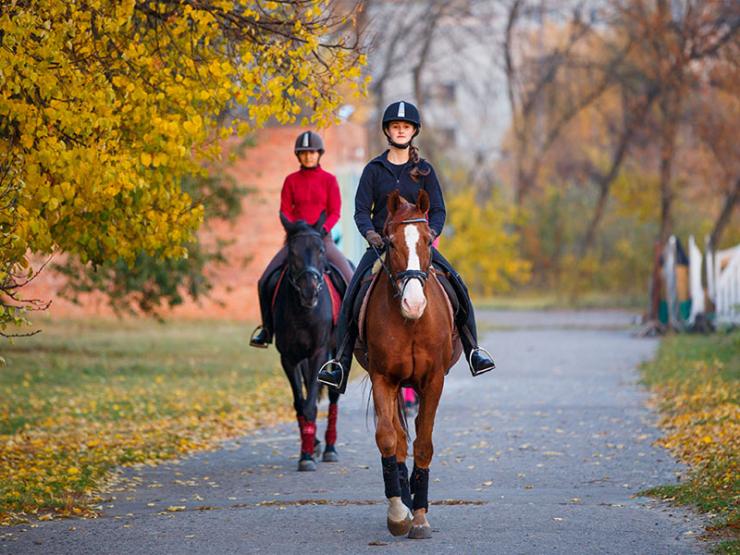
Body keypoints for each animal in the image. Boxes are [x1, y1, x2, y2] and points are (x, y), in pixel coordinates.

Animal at [364, 190, 456, 540]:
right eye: (390, 243)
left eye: (429, 240)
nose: (413, 304)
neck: (412, 323)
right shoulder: (383, 378)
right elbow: (389, 441)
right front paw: (398, 514)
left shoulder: (433, 381)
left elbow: (424, 444)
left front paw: (419, 518)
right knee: (399, 442)